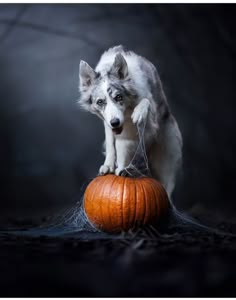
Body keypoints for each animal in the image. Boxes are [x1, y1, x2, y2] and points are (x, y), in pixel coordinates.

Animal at [79, 45, 183, 199]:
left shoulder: (149, 117)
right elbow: (112, 144)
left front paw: (139, 112)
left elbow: (146, 101)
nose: (115, 122)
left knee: (167, 188)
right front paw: (110, 165)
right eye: (100, 102)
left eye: (118, 97)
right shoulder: (109, 124)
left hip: (166, 160)